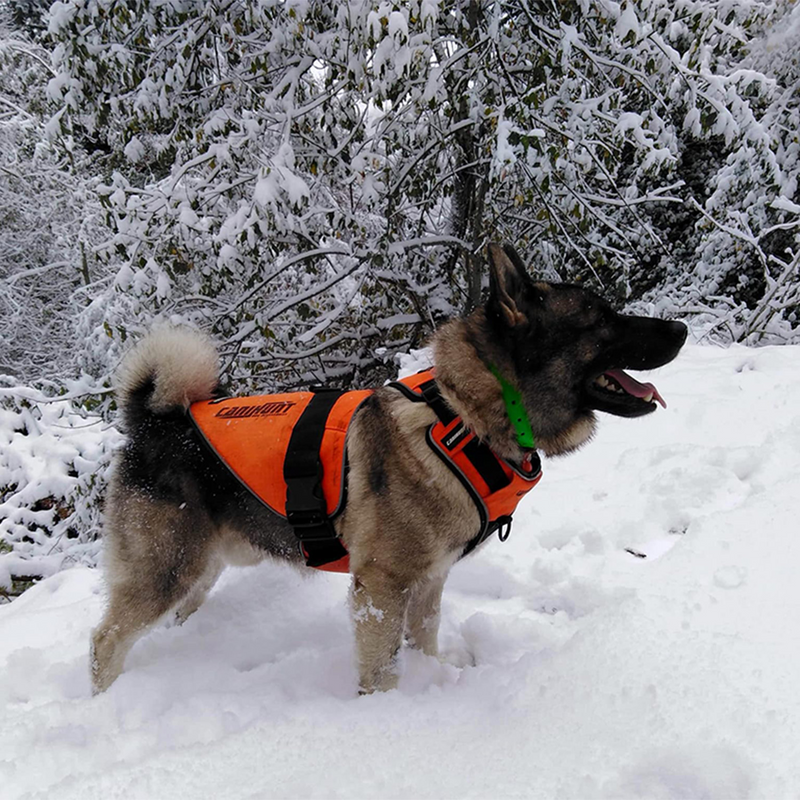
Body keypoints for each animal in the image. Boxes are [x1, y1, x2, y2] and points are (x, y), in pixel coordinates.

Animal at [89, 242, 688, 692]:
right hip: (166, 569)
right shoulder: (381, 586)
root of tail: (157, 420)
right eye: (601, 319)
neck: (465, 418)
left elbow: (423, 638)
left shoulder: (429, 580)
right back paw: (107, 699)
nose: (681, 328)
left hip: (202, 567)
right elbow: (382, 667)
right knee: (105, 641)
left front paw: (434, 675)